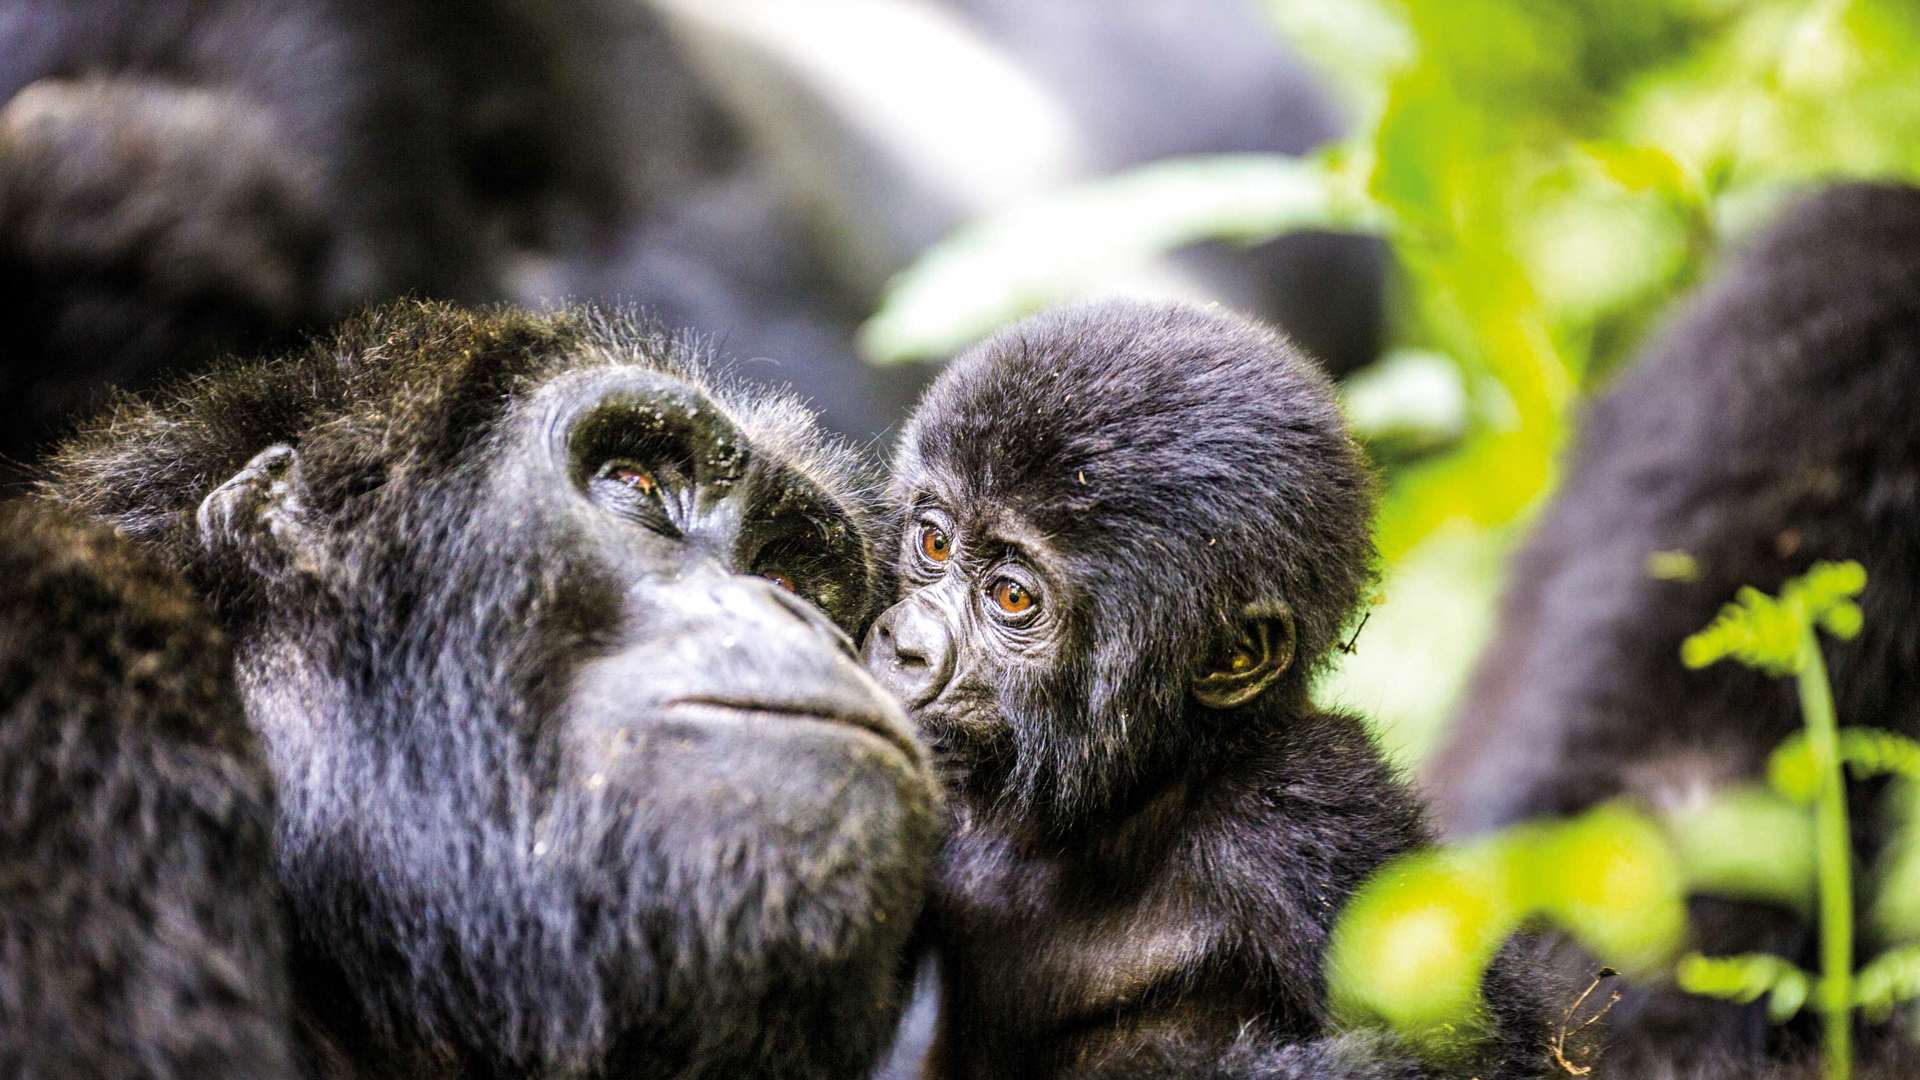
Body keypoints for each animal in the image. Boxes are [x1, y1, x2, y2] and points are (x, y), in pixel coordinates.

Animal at [864, 299, 1551, 1076]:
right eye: (935, 543)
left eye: (1012, 597)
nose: (904, 645)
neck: (1131, 800)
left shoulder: (1305, 808)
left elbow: (1484, 1050)